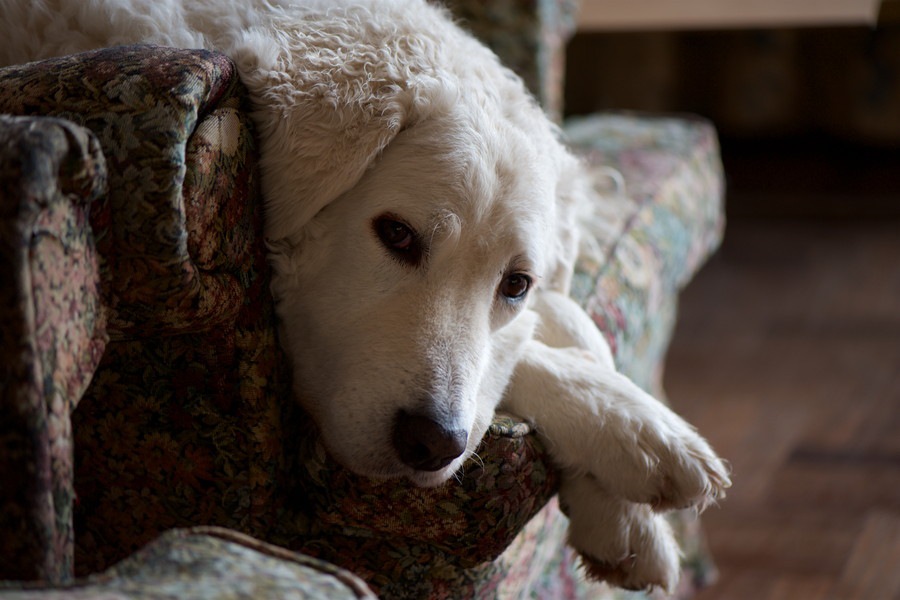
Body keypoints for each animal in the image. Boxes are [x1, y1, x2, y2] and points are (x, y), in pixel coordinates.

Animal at [0, 0, 728, 592]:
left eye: (515, 284)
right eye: (397, 234)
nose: (432, 445)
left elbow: (574, 327)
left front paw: (627, 517)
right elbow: (544, 354)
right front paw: (644, 438)